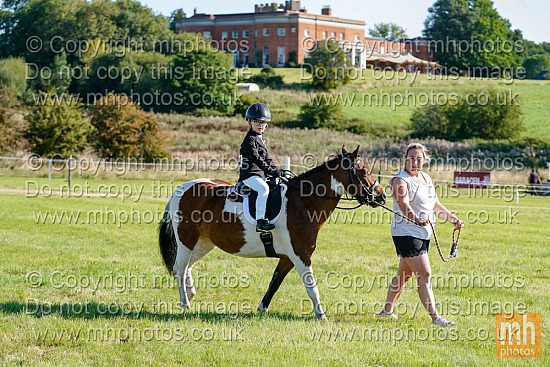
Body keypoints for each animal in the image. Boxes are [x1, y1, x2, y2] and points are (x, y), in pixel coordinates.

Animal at [157, 146, 386, 320]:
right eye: (363, 171)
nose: (381, 196)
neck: (302, 201)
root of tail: (181, 189)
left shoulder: (287, 257)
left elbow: (275, 283)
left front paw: (261, 308)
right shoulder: (300, 254)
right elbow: (311, 286)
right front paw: (321, 315)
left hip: (204, 242)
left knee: (187, 266)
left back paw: (190, 295)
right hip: (186, 239)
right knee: (180, 268)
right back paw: (184, 303)